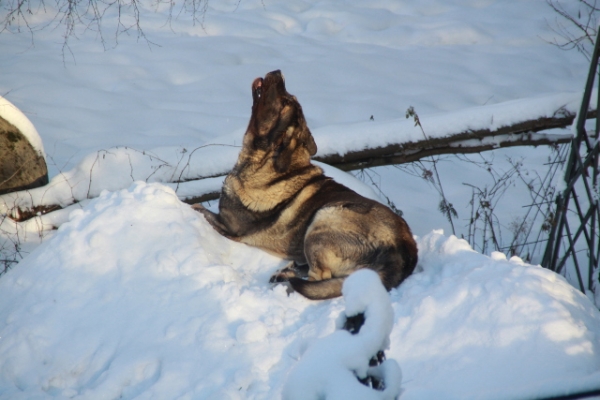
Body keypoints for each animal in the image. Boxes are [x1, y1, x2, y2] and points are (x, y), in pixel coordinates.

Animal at [193, 69, 418, 300]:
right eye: (289, 97)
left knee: (317, 279)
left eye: (284, 102)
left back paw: (287, 285)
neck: (262, 162)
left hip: (324, 220)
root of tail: (404, 250)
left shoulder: (229, 227)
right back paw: (286, 271)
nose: (278, 72)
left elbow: (197, 208)